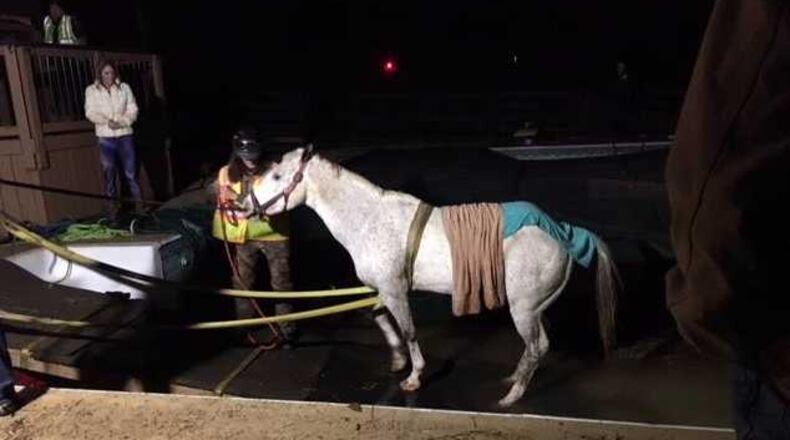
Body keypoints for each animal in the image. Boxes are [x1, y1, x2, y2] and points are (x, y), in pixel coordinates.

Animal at [244, 146, 620, 407]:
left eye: (277, 177)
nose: (246, 205)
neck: (368, 219)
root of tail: (563, 233)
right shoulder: (381, 289)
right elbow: (380, 319)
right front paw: (397, 360)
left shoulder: (395, 290)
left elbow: (409, 330)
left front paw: (414, 377)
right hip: (534, 307)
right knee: (536, 346)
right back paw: (513, 378)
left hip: (523, 307)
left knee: (537, 345)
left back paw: (511, 397)